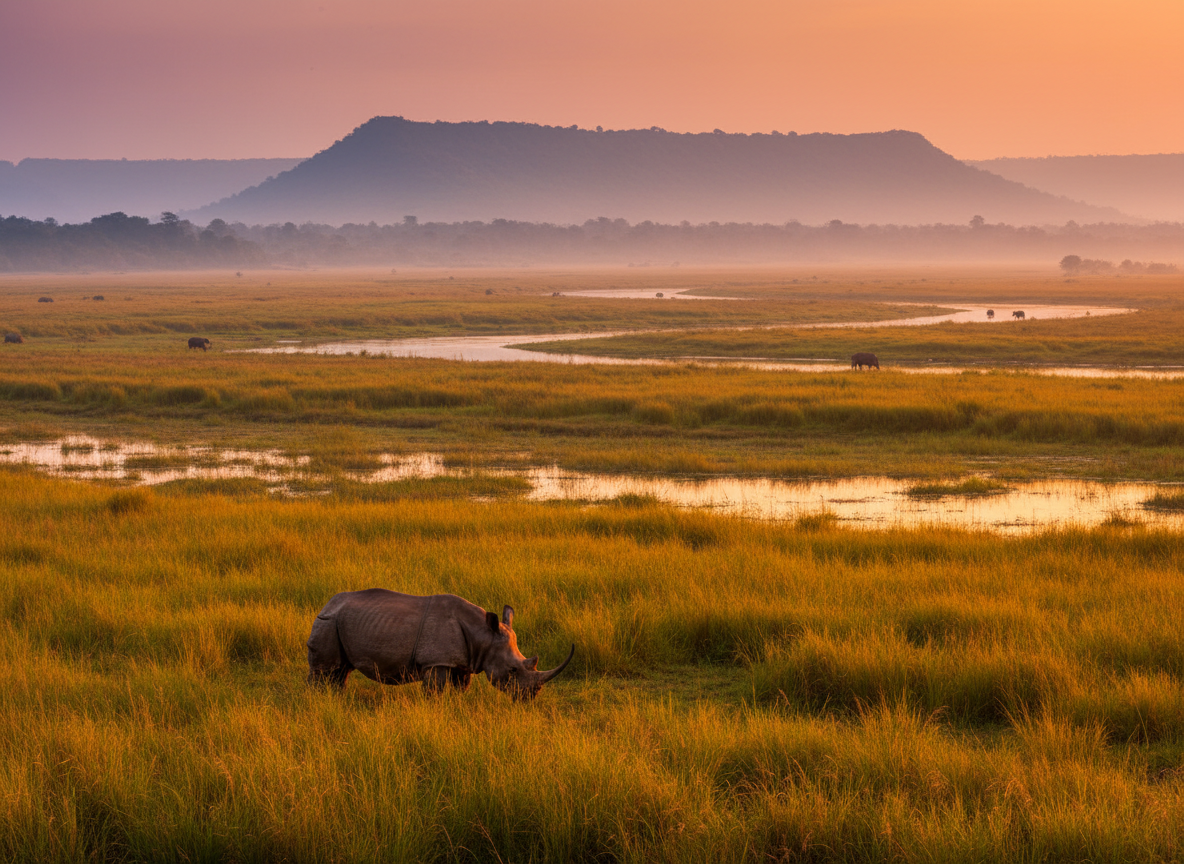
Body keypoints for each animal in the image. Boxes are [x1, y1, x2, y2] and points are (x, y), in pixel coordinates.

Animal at [307, 589, 574, 700]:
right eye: (512, 670)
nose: (531, 696)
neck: (483, 635)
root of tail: (326, 604)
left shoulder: (462, 662)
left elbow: (460, 690)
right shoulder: (437, 662)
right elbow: (434, 692)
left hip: (339, 622)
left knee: (341, 671)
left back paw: (337, 700)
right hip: (327, 623)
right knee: (324, 670)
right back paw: (318, 702)